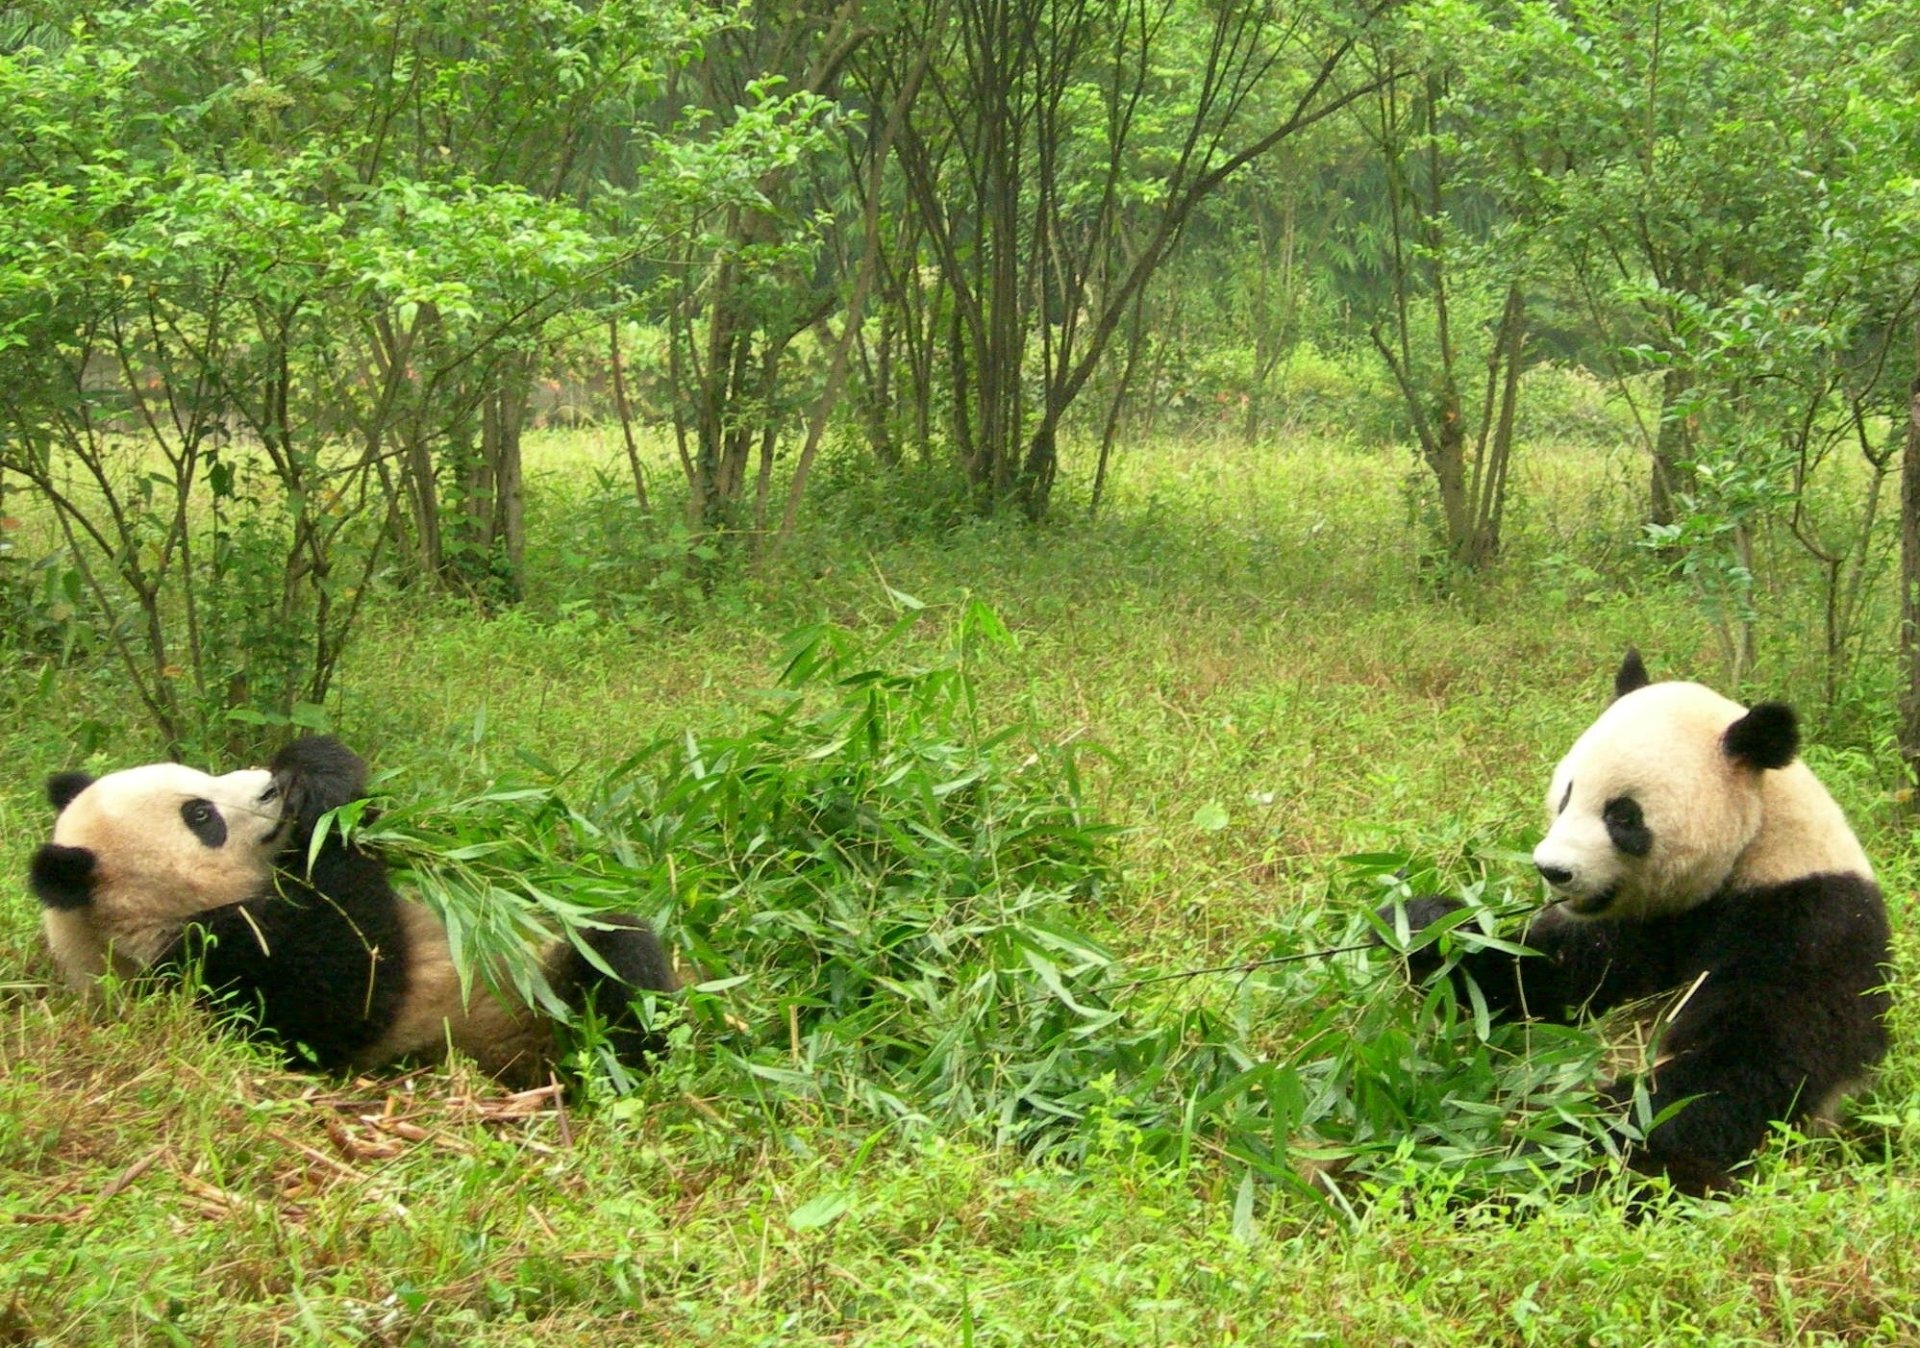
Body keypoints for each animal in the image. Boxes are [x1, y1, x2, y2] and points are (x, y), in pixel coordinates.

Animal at [26, 733, 679, 1090]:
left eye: (201, 777)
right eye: (201, 816)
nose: (269, 786)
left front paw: (309, 762)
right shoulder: (214, 966)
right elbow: (352, 983)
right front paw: (325, 790)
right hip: (528, 1025)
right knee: (615, 975)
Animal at [1382, 652, 1889, 1190]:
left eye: (1623, 816)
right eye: (1566, 796)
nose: (1553, 870)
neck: (1757, 843)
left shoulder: (1808, 921)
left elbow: (1746, 1066)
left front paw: (1560, 1135)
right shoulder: (1646, 922)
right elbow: (1546, 977)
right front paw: (1422, 925)